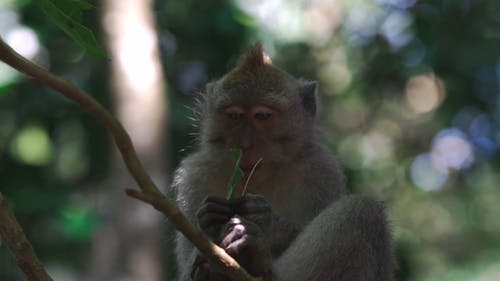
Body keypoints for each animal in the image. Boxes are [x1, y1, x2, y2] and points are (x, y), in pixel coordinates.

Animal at [172, 44, 394, 278]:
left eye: (262, 116)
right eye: (235, 116)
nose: (245, 144)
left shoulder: (320, 169)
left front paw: (264, 219)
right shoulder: (195, 176)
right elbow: (186, 268)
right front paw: (209, 219)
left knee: (362, 210)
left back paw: (257, 259)